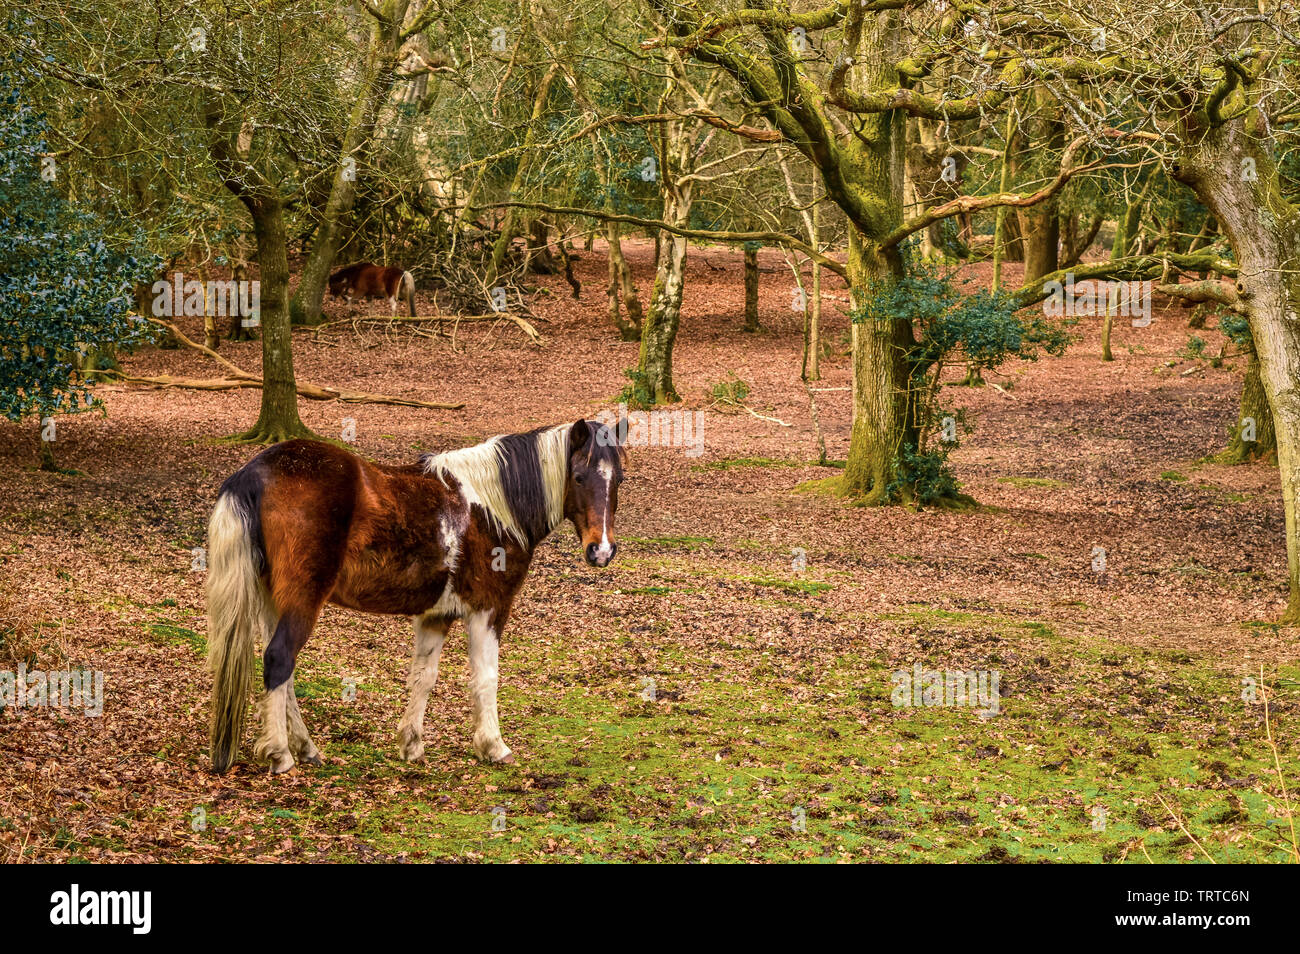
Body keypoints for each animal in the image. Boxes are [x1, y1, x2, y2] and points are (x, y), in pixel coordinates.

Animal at [205, 421, 626, 774]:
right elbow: (486, 677)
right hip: (302, 600)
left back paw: (306, 747)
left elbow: (424, 677)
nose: (601, 551)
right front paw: (493, 746)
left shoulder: (435, 616)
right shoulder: (489, 609)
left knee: (282, 668)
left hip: (274, 601)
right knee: (279, 660)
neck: (492, 508)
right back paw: (281, 754)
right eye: (578, 476)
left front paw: (411, 745)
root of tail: (255, 472)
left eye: (618, 479)